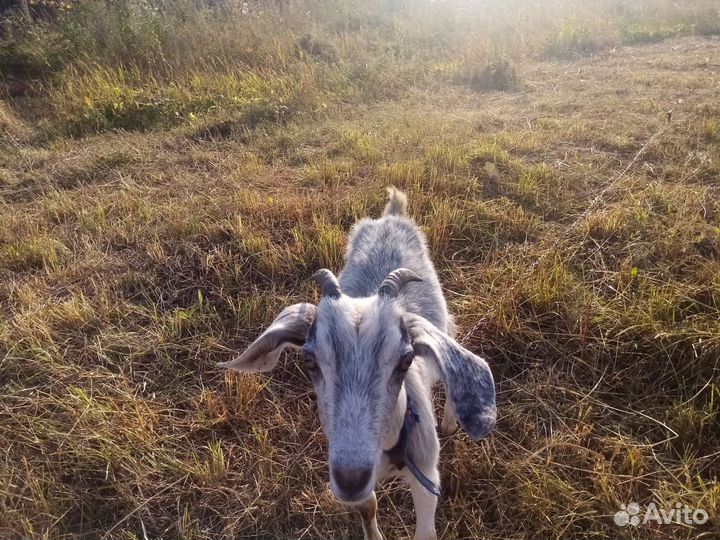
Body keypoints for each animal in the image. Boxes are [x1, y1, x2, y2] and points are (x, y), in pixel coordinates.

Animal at [219, 188, 496, 540]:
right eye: (309, 360)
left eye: (405, 360)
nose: (351, 478)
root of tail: (391, 216)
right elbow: (369, 507)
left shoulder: (426, 476)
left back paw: (449, 420)